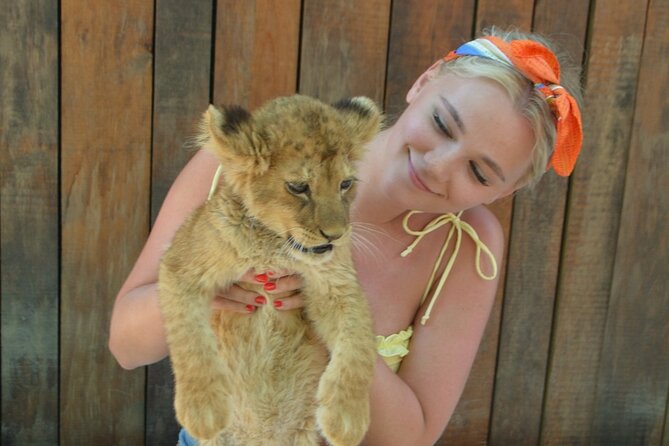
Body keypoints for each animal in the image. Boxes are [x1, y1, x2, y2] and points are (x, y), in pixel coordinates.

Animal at [158, 94, 382, 446]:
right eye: (299, 187)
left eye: (346, 184)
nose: (336, 235)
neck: (274, 246)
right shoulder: (181, 266)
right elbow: (189, 340)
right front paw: (202, 409)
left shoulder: (337, 286)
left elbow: (358, 345)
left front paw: (347, 418)